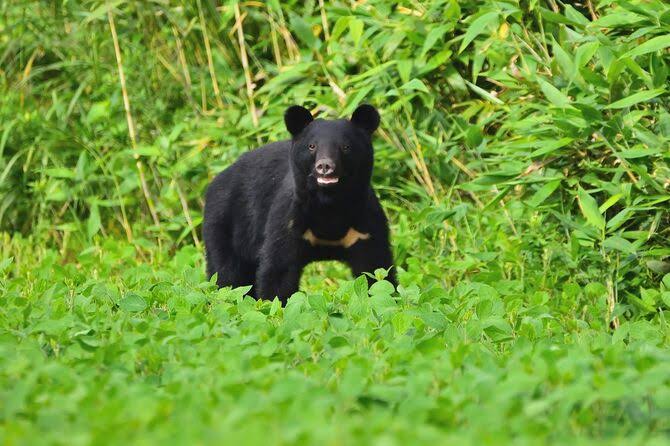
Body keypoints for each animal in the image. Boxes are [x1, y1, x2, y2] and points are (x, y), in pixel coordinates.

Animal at [202, 105, 396, 304]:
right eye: (312, 146)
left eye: (346, 146)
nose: (325, 166)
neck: (329, 204)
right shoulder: (290, 221)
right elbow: (279, 271)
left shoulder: (364, 226)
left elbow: (376, 270)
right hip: (224, 224)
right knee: (227, 275)